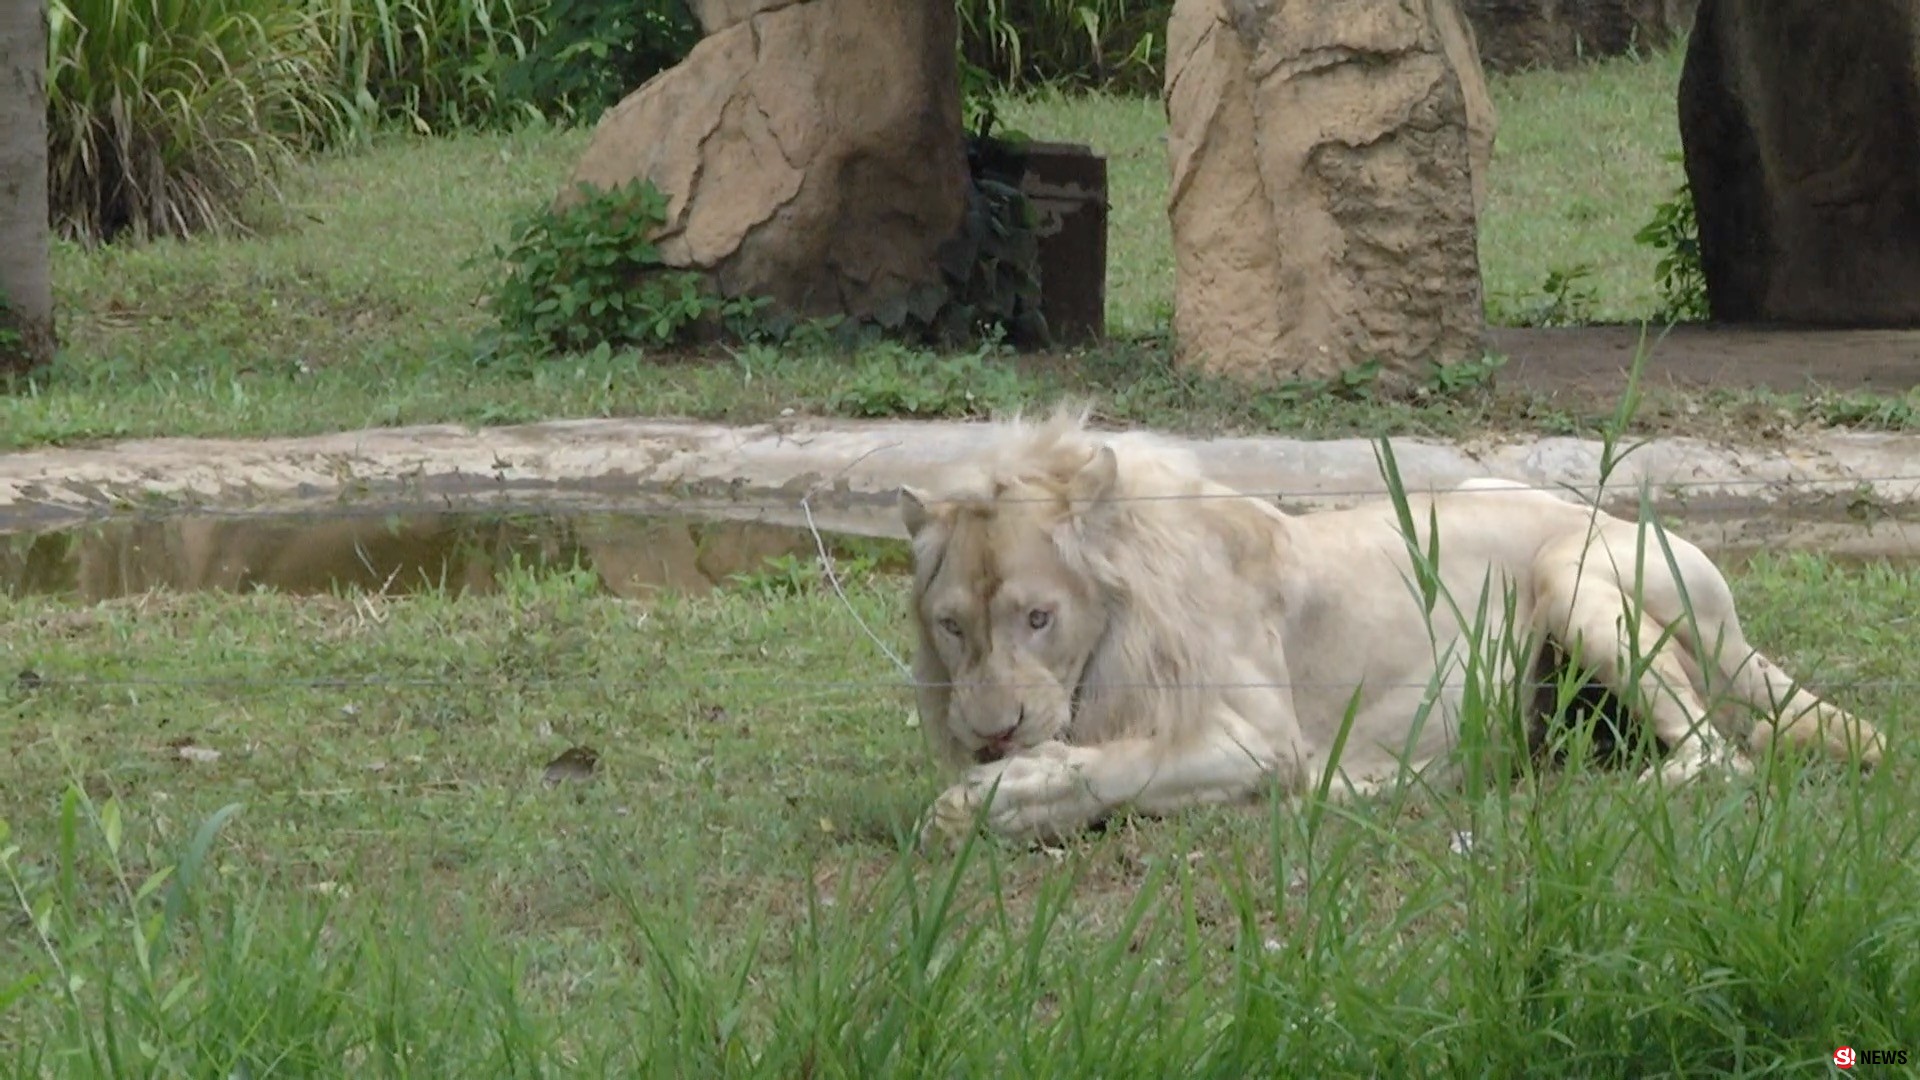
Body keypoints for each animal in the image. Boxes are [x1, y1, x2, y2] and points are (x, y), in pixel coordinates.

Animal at [902, 405, 1889, 841]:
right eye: (950, 627)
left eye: (1039, 616)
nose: (991, 733)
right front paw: (988, 790)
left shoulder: (1260, 743)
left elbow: (1118, 771)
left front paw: (996, 793)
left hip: (1572, 574)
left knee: (1721, 755)